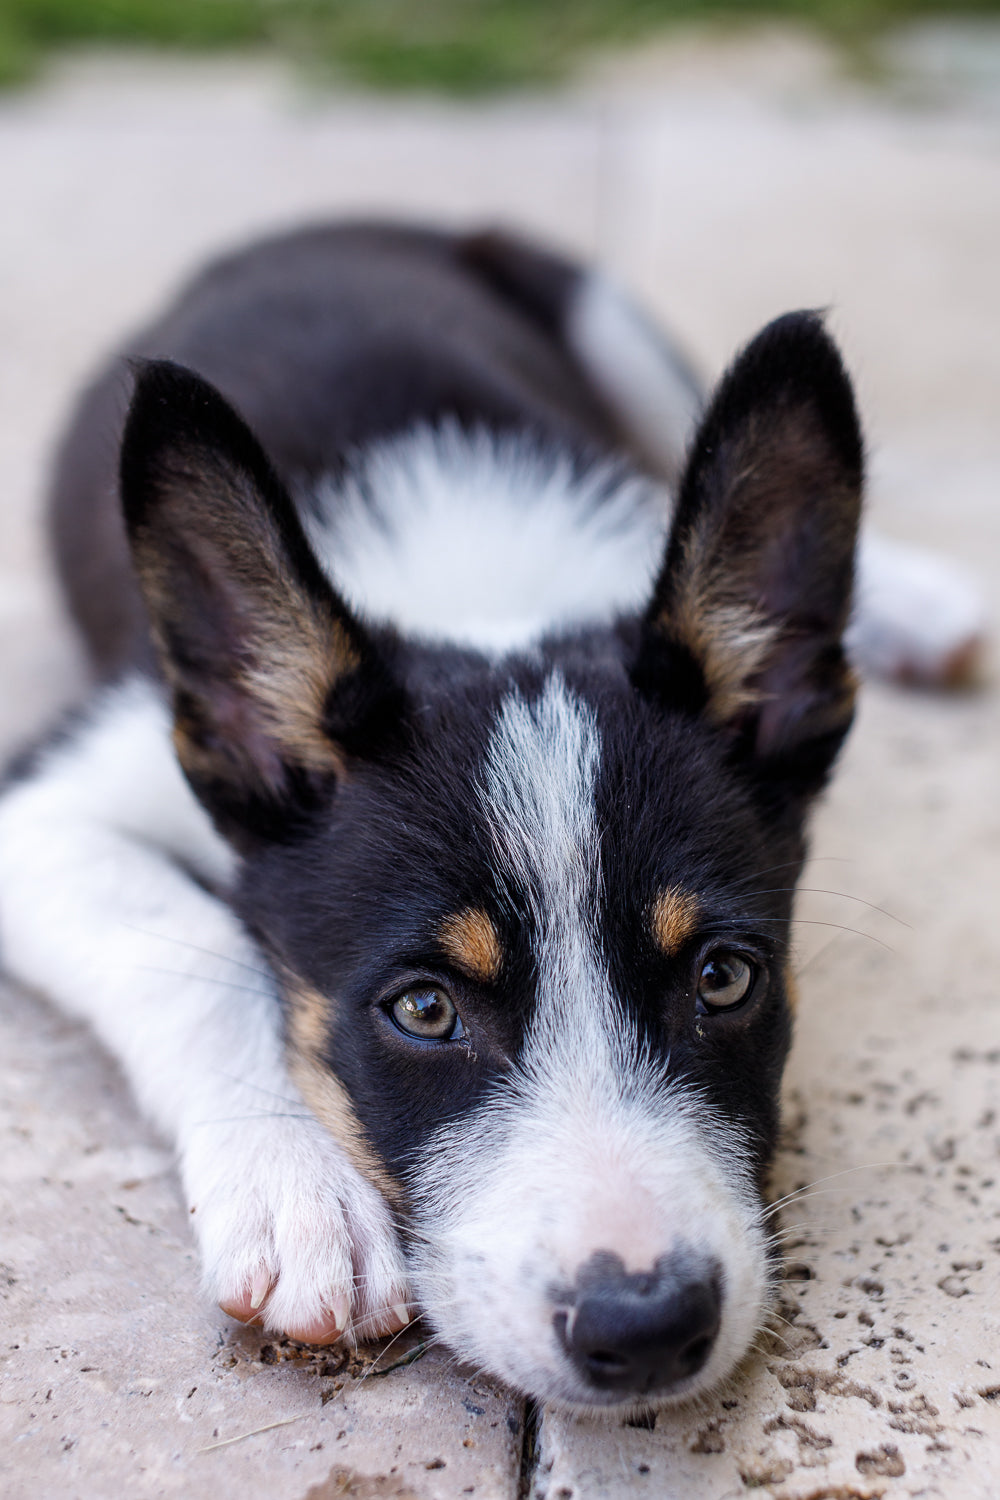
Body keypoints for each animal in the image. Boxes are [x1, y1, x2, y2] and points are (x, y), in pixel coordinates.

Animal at [0, 219, 971, 1404]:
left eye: (724, 979)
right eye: (424, 1010)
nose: (646, 1327)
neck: (487, 602)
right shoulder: (52, 798)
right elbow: (195, 952)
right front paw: (300, 1195)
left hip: (601, 314)